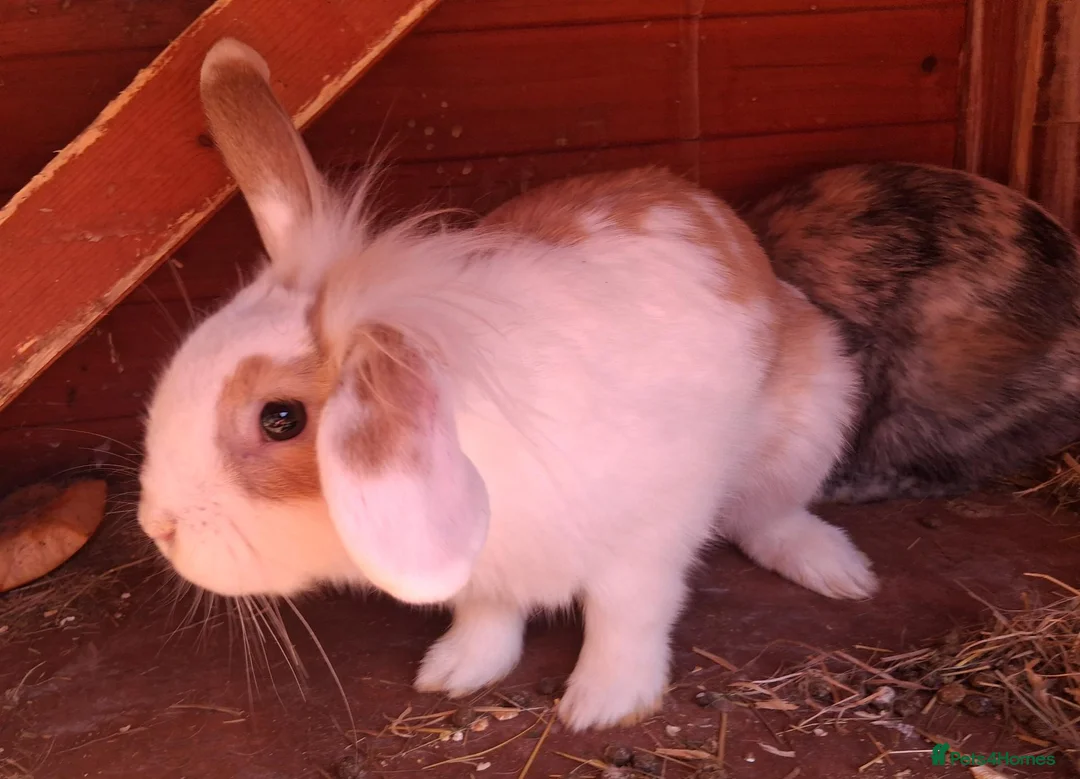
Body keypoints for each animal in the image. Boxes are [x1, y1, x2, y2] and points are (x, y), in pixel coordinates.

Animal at [136, 37, 877, 732]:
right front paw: (456, 670)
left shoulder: (649, 538)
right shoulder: (484, 571)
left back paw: (838, 570)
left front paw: (605, 703)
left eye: (281, 418)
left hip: (814, 417)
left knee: (768, 516)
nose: (156, 524)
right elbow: (487, 615)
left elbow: (627, 615)